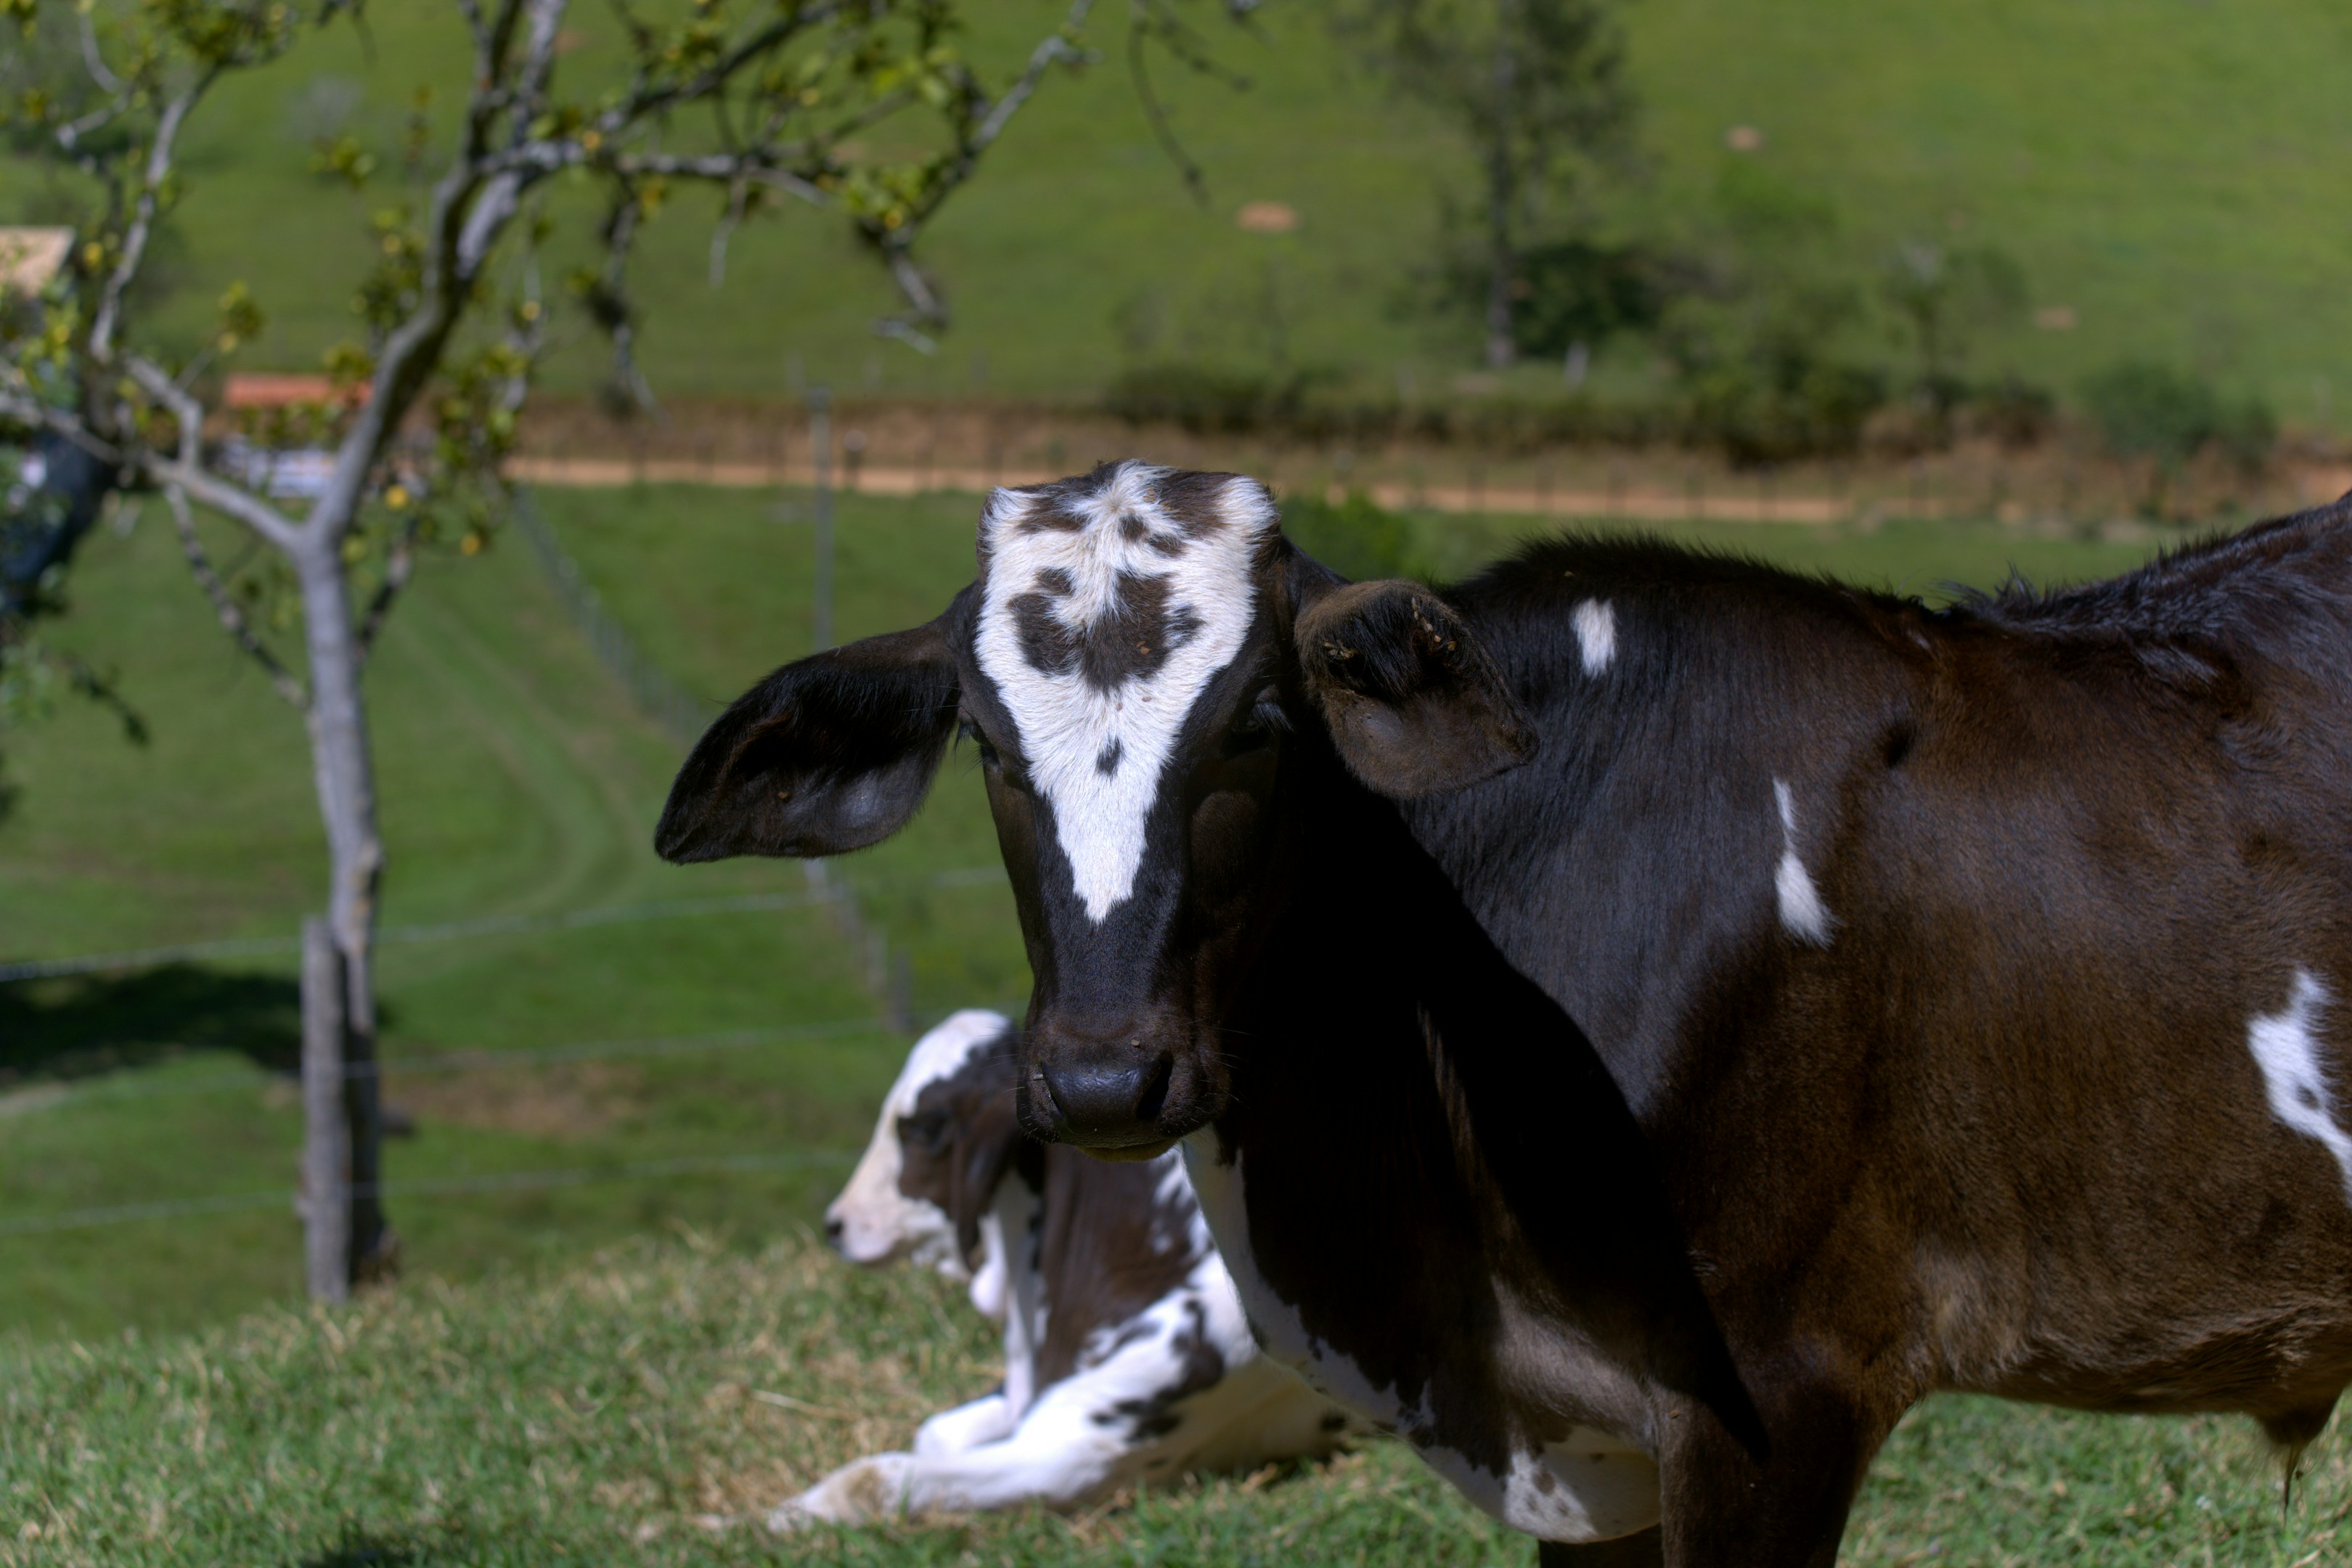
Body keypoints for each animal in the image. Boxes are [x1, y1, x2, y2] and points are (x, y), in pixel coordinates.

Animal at [779, 1007, 1354, 1528]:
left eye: (925, 1127)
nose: (836, 1224)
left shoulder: (1081, 1450)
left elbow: (877, 1478)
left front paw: (784, 1517)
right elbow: (934, 1433)